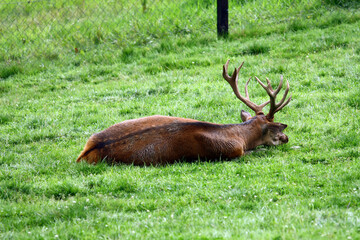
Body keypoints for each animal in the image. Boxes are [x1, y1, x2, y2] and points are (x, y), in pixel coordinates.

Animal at [77, 60, 292, 165]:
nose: (287, 137)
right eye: (277, 128)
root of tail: (85, 153)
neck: (238, 136)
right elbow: (257, 150)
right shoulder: (232, 152)